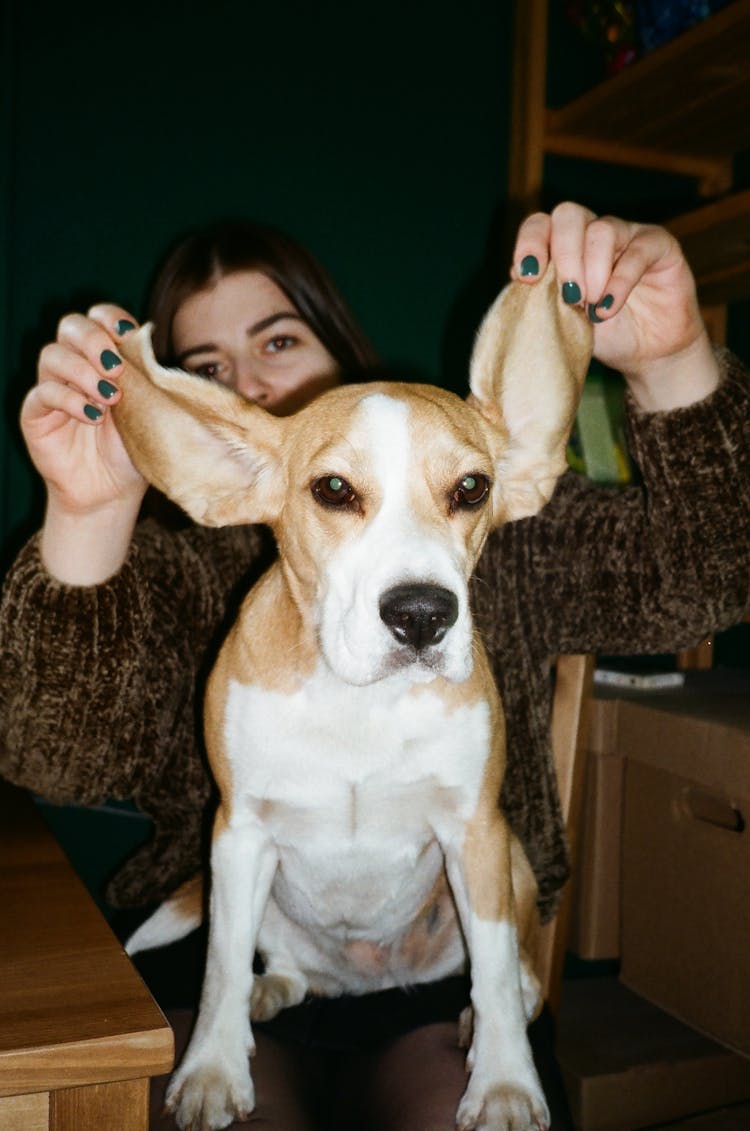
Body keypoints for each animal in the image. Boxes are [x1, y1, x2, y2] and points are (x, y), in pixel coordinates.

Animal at [114, 266, 592, 1131]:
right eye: (333, 489)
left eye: (472, 488)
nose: (422, 615)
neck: (360, 701)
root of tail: (370, 983)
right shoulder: (238, 830)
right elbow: (220, 965)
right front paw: (212, 1067)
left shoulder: (475, 828)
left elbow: (496, 973)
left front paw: (505, 1082)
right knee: (283, 966)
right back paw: (272, 991)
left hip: (507, 857)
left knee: (512, 975)